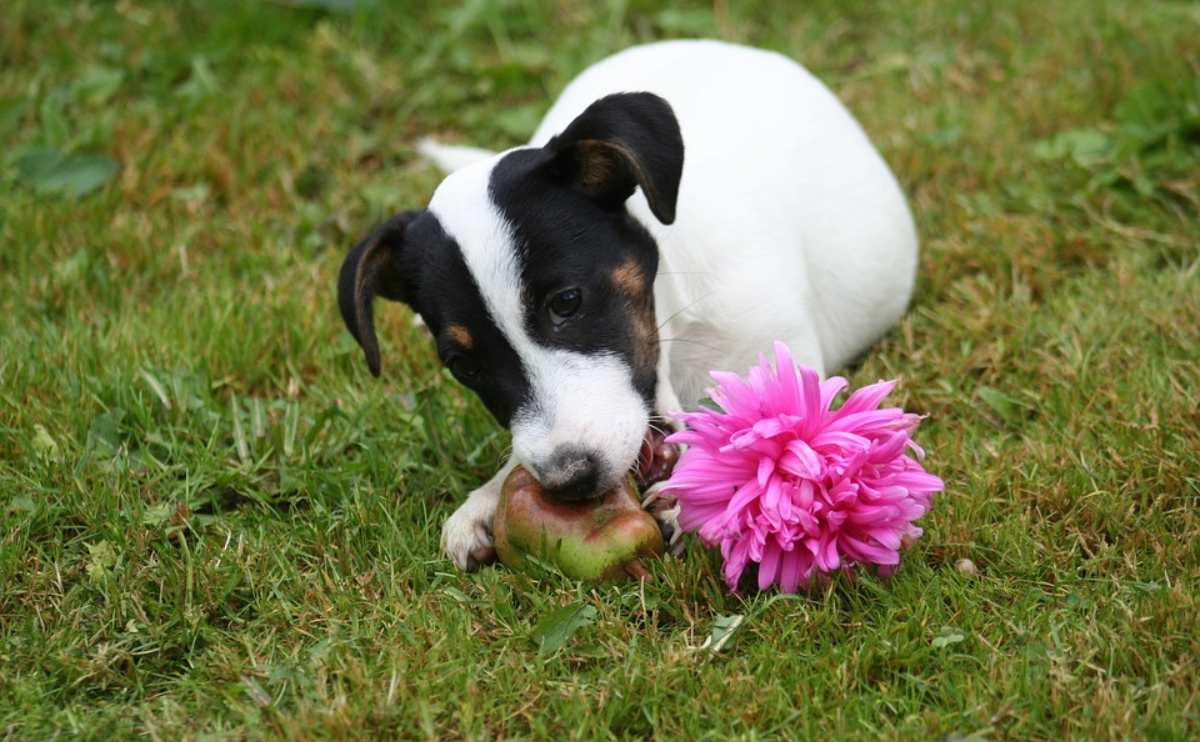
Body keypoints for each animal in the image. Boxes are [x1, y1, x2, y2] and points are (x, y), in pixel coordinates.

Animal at [333, 39, 912, 571]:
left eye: (567, 302)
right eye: (464, 366)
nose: (570, 481)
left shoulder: (781, 359)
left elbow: (762, 440)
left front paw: (695, 496)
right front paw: (487, 496)